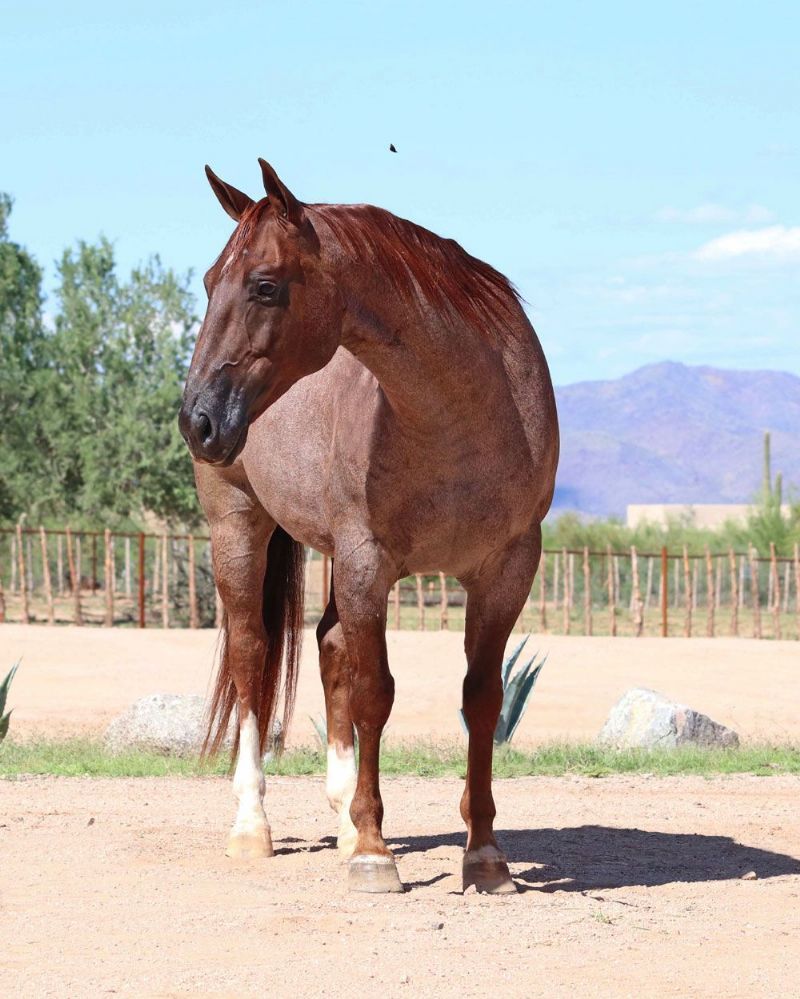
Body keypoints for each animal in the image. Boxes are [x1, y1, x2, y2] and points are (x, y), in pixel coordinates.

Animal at [179, 158, 559, 894]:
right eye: (210, 283)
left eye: (264, 286)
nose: (199, 419)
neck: (457, 418)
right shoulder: (367, 562)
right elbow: (374, 692)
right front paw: (376, 856)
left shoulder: (506, 569)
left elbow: (482, 698)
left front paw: (484, 853)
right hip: (239, 526)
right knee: (252, 655)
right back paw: (255, 825)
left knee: (327, 647)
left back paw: (346, 819)